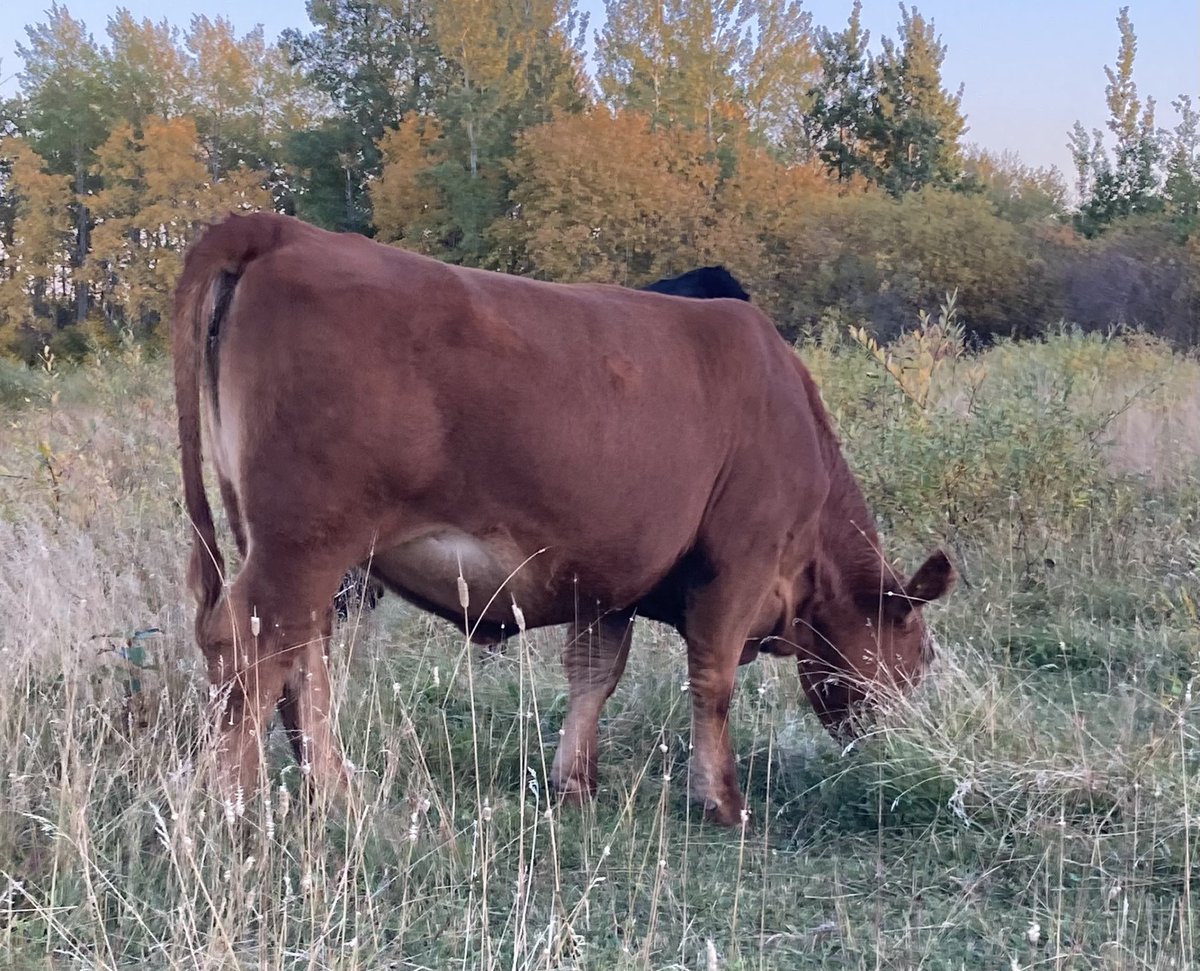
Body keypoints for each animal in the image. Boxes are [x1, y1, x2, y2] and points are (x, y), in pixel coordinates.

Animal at [172, 212, 953, 826]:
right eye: (920, 654)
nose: (905, 746)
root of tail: (285, 230)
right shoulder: (739, 560)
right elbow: (712, 679)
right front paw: (723, 801)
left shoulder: (609, 575)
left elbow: (593, 673)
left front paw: (573, 781)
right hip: (300, 545)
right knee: (252, 652)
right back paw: (232, 807)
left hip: (299, 553)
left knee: (301, 660)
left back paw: (333, 792)